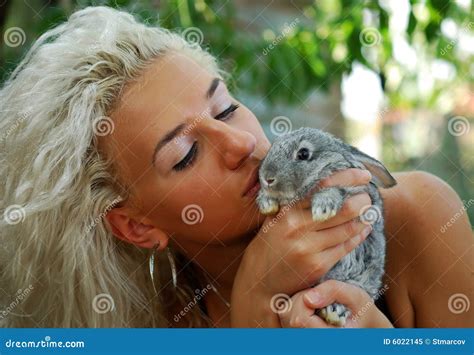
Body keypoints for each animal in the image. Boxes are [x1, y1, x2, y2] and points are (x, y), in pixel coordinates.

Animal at [256, 126, 396, 326]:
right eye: (272, 147)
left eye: (303, 153)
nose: (267, 178)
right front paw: (266, 202)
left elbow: (335, 190)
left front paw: (323, 209)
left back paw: (334, 312)